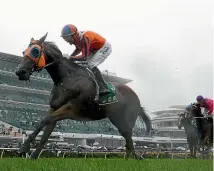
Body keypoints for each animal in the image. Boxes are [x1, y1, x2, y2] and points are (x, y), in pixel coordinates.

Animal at [15, 33, 152, 159]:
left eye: (35, 51)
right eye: (23, 52)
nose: (20, 71)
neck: (66, 78)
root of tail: (136, 96)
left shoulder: (71, 108)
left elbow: (45, 120)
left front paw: (24, 148)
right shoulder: (54, 107)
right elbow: (45, 131)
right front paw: (33, 155)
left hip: (127, 118)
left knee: (128, 135)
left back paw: (135, 157)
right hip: (116, 118)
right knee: (127, 135)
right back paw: (130, 157)